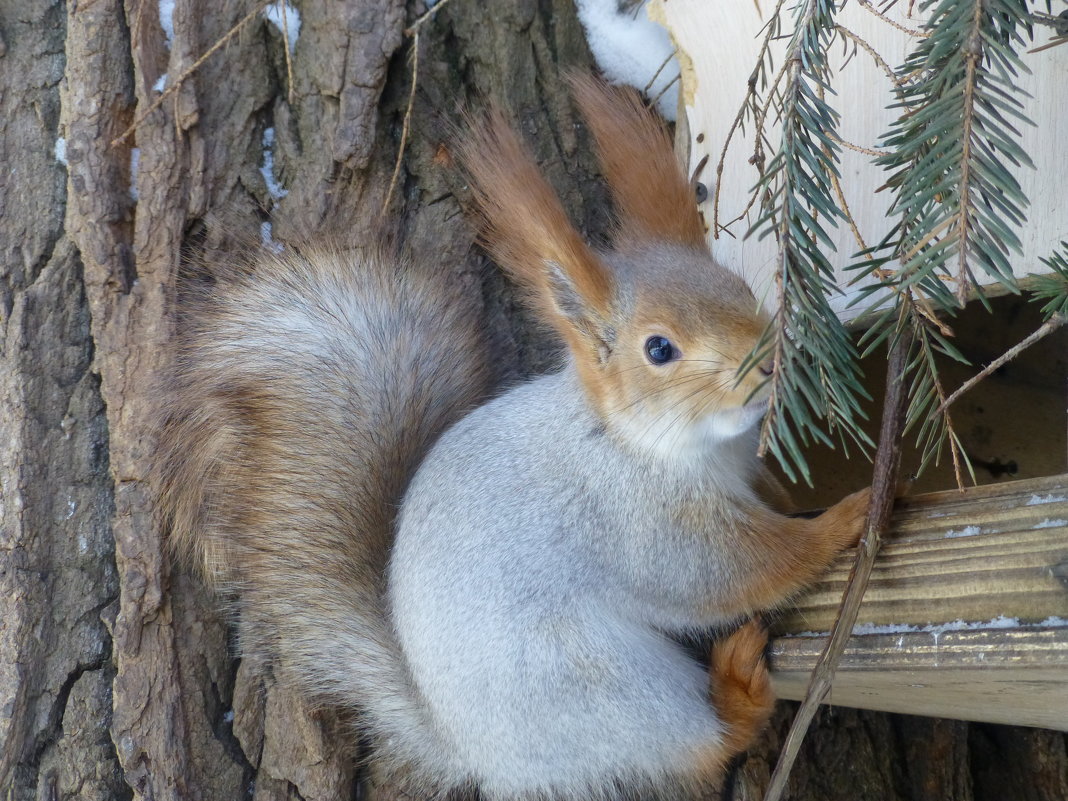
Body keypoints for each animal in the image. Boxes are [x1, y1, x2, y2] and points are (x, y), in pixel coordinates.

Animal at [155, 76, 875, 801]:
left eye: (740, 290)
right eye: (659, 348)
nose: (769, 366)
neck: (646, 443)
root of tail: (473, 750)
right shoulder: (642, 522)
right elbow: (733, 570)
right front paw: (848, 517)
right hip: (608, 692)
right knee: (701, 743)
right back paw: (739, 686)